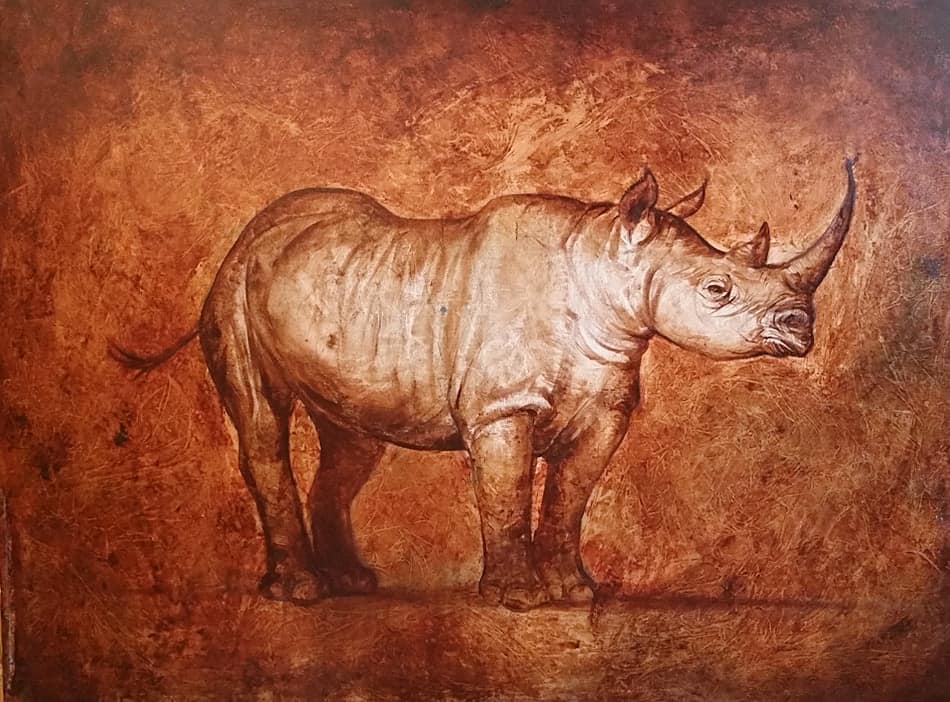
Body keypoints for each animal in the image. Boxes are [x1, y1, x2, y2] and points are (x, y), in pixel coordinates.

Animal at [113, 157, 856, 611]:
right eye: (717, 289)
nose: (802, 326)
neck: (603, 267)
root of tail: (245, 238)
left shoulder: (607, 406)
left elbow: (570, 498)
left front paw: (576, 594)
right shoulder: (503, 407)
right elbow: (506, 493)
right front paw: (517, 600)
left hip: (342, 303)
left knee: (352, 439)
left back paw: (353, 583)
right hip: (234, 290)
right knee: (263, 423)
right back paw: (301, 594)